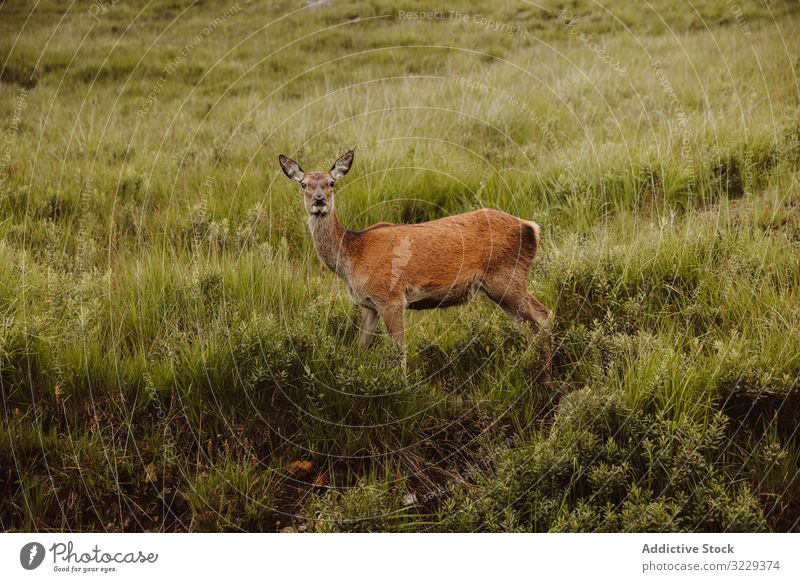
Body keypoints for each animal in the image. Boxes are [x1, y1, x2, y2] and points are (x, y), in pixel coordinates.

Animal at [278, 151, 552, 378]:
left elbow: (400, 352)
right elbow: (360, 347)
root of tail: (532, 228)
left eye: (331, 183)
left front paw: (400, 389)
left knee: (543, 317)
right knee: (530, 326)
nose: (319, 200)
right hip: (502, 287)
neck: (352, 256)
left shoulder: (391, 298)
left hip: (507, 277)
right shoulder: (369, 305)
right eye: (304, 184)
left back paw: (544, 376)